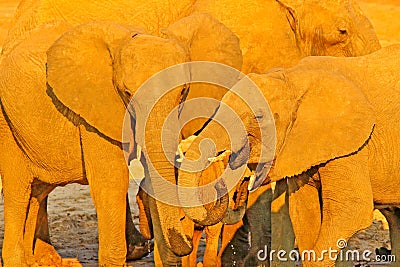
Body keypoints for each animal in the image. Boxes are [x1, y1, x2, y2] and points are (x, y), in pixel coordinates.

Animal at [0, 13, 242, 266]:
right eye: (127, 93)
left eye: (183, 91)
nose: (187, 242)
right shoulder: (95, 112)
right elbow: (110, 183)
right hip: (7, 125)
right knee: (18, 192)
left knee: (37, 192)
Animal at [180, 44, 400, 267]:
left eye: (258, 116)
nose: (236, 188)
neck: (292, 79)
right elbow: (303, 212)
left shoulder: (353, 144)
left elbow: (352, 210)